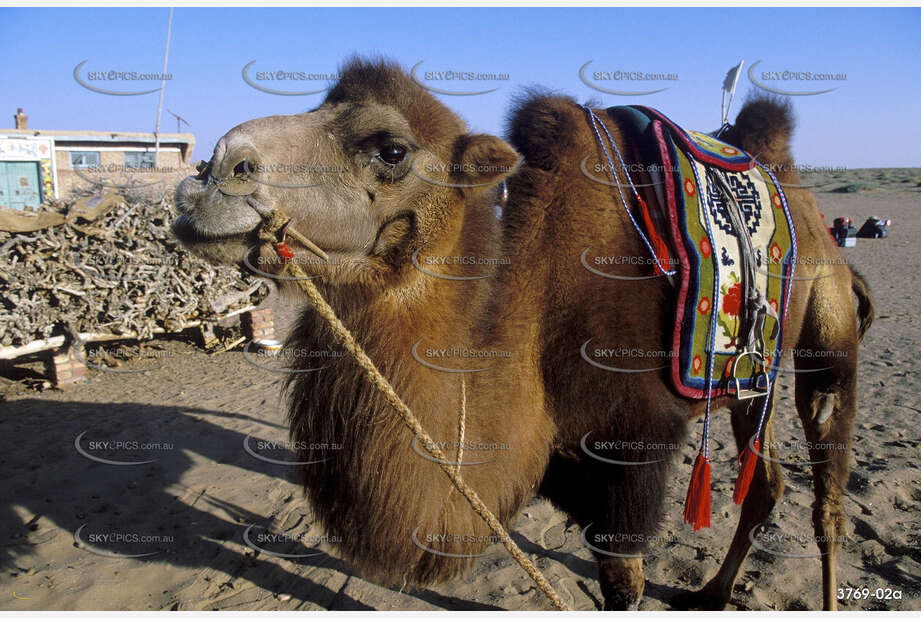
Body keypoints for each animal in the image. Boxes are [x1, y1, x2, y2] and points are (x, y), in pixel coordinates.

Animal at [172, 60, 868, 608]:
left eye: (391, 149)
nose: (212, 174)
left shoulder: (629, 456)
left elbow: (625, 585)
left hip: (828, 325)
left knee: (827, 485)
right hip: (754, 378)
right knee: (767, 482)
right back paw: (714, 594)